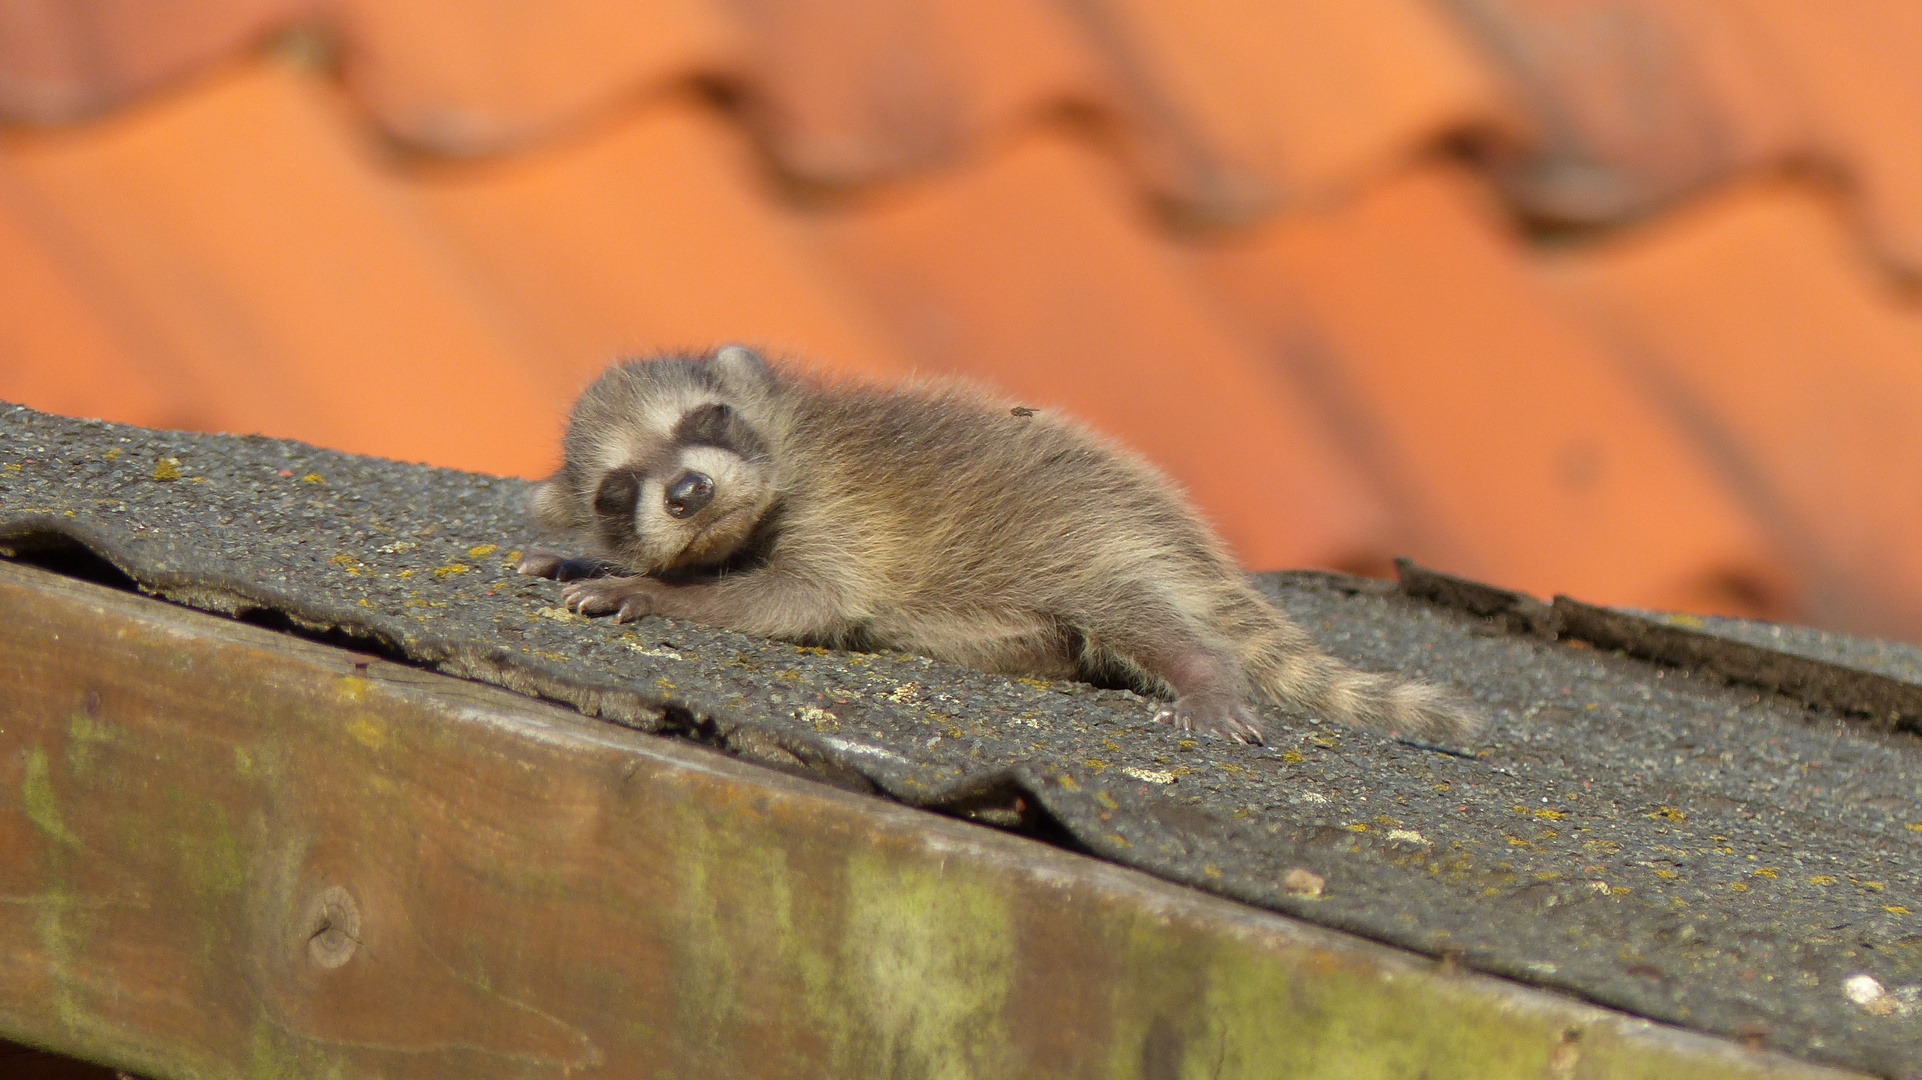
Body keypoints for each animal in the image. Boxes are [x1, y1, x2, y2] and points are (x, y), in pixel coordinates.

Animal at [518, 349, 1476, 745]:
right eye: (616, 491)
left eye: (705, 421)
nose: (687, 492)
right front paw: (595, 558)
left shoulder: (835, 507)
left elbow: (803, 599)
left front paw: (653, 594)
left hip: (1083, 542)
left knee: (1126, 612)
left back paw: (1203, 667)